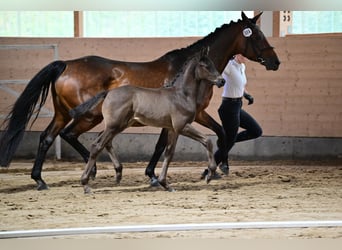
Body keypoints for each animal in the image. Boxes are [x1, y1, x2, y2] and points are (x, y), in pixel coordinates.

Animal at [71, 47, 226, 191]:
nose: (221, 81)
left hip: (120, 125)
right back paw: (86, 184)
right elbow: (207, 141)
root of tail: (108, 92)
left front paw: (165, 184)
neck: (181, 95)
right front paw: (209, 174)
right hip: (114, 126)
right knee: (97, 146)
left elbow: (169, 153)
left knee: (103, 143)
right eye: (205, 65)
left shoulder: (172, 129)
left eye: (213, 63)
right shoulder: (182, 126)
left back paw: (117, 174)